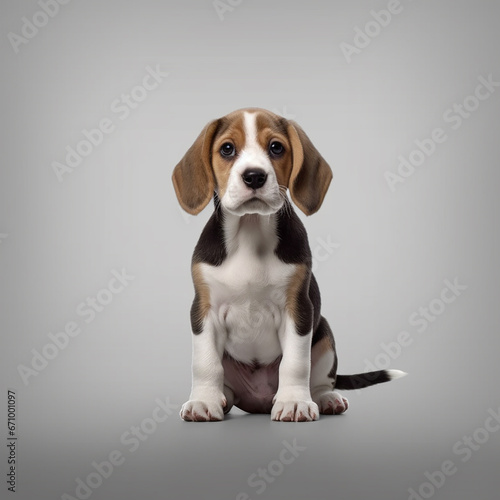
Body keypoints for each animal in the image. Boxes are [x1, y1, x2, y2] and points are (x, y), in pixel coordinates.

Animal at [172, 107, 406, 420]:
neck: (251, 231)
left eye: (276, 147)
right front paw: (204, 401)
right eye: (227, 149)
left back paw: (326, 398)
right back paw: (223, 398)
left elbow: (295, 363)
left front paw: (294, 401)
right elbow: (205, 363)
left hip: (324, 334)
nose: (254, 176)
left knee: (320, 380)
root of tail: (257, 399)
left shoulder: (298, 309)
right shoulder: (204, 311)